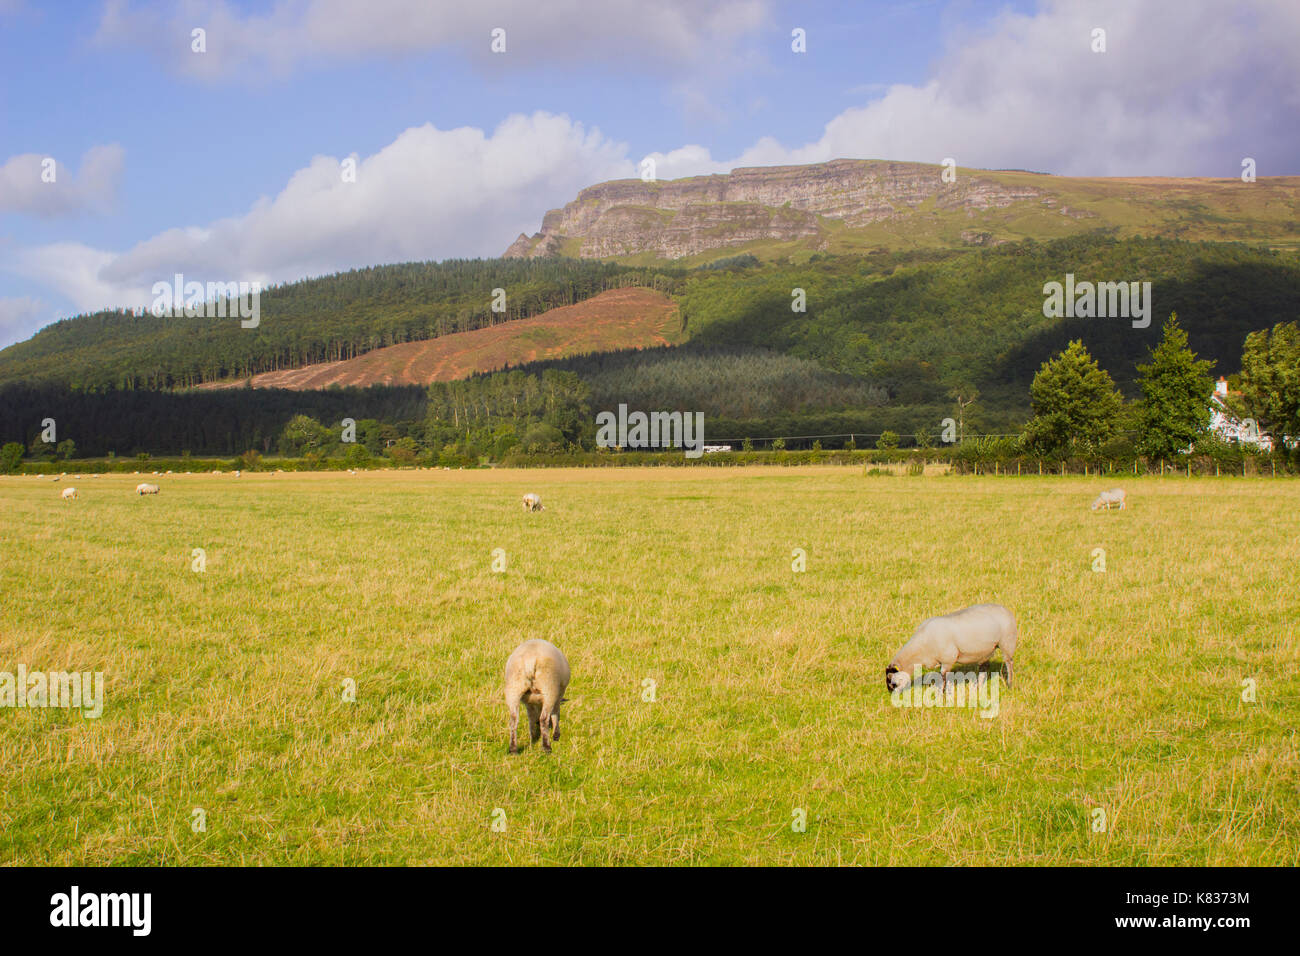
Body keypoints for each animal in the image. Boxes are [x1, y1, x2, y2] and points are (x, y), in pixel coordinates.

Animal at [883, 600, 1013, 691]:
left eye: (892, 681)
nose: (891, 694)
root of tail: (1005, 609)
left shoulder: (948, 660)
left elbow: (944, 677)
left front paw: (943, 693)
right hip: (986, 651)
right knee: (984, 667)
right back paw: (978, 687)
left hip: (1007, 643)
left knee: (1009, 663)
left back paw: (1009, 685)